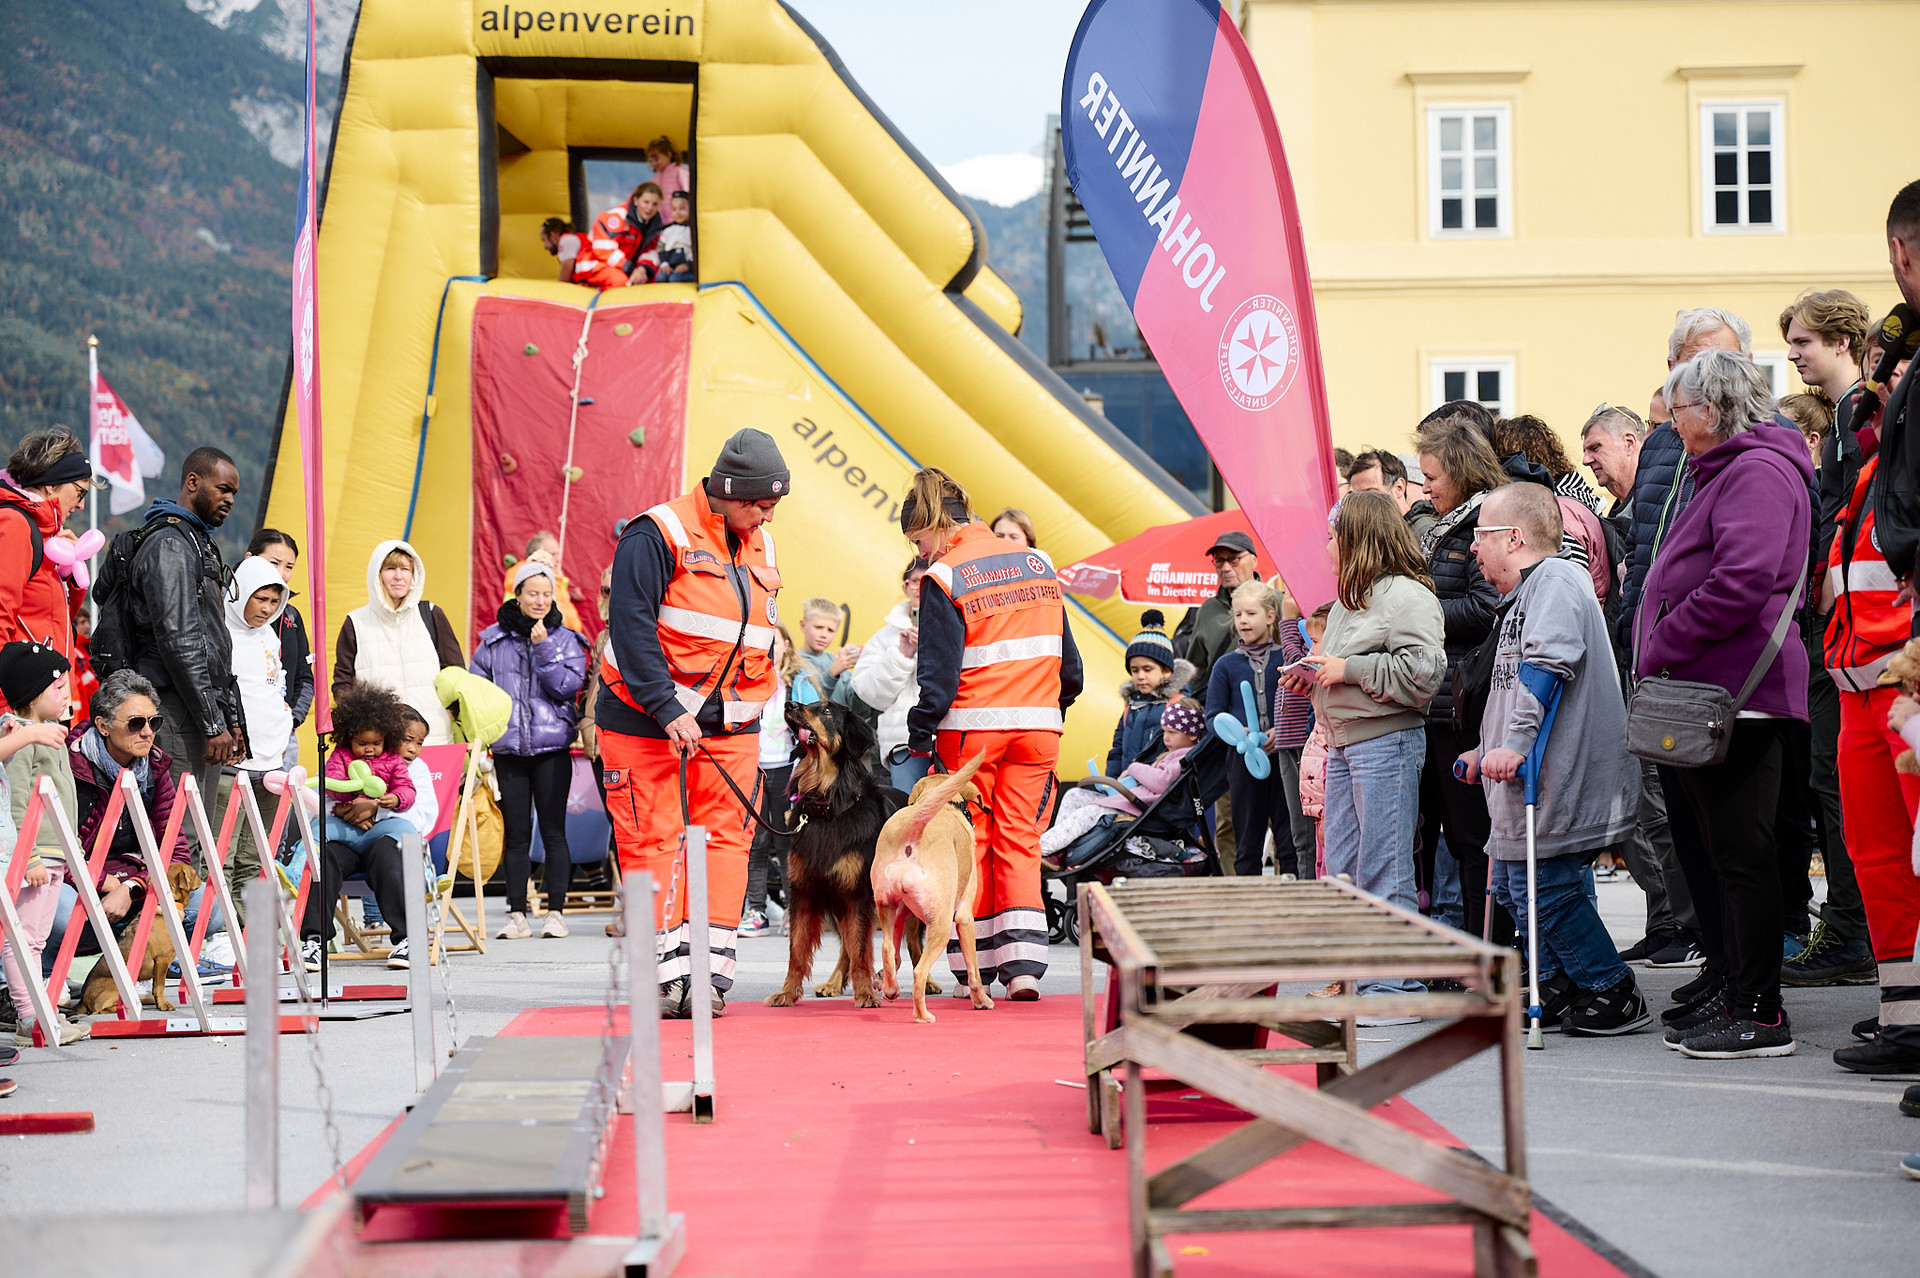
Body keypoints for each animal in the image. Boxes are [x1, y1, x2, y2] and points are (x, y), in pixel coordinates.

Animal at [81, 859, 202, 1013]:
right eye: (194, 873)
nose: (201, 878)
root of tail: (82, 1001)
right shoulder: (161, 961)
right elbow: (160, 987)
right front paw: (163, 1005)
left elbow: (155, 988)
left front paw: (158, 1003)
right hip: (115, 989)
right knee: (101, 1009)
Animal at [764, 698, 929, 1005]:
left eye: (827, 710)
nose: (789, 704)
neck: (825, 804)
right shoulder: (805, 891)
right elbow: (798, 950)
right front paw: (787, 993)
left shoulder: (857, 895)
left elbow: (862, 949)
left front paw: (865, 993)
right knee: (847, 948)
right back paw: (834, 982)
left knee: (912, 943)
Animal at [871, 752, 990, 1020]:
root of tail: (913, 827)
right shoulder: (964, 918)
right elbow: (974, 971)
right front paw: (981, 1001)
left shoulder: (902, 912)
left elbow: (895, 953)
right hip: (942, 924)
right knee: (919, 971)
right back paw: (922, 1015)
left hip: (886, 906)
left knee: (887, 949)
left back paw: (891, 989)